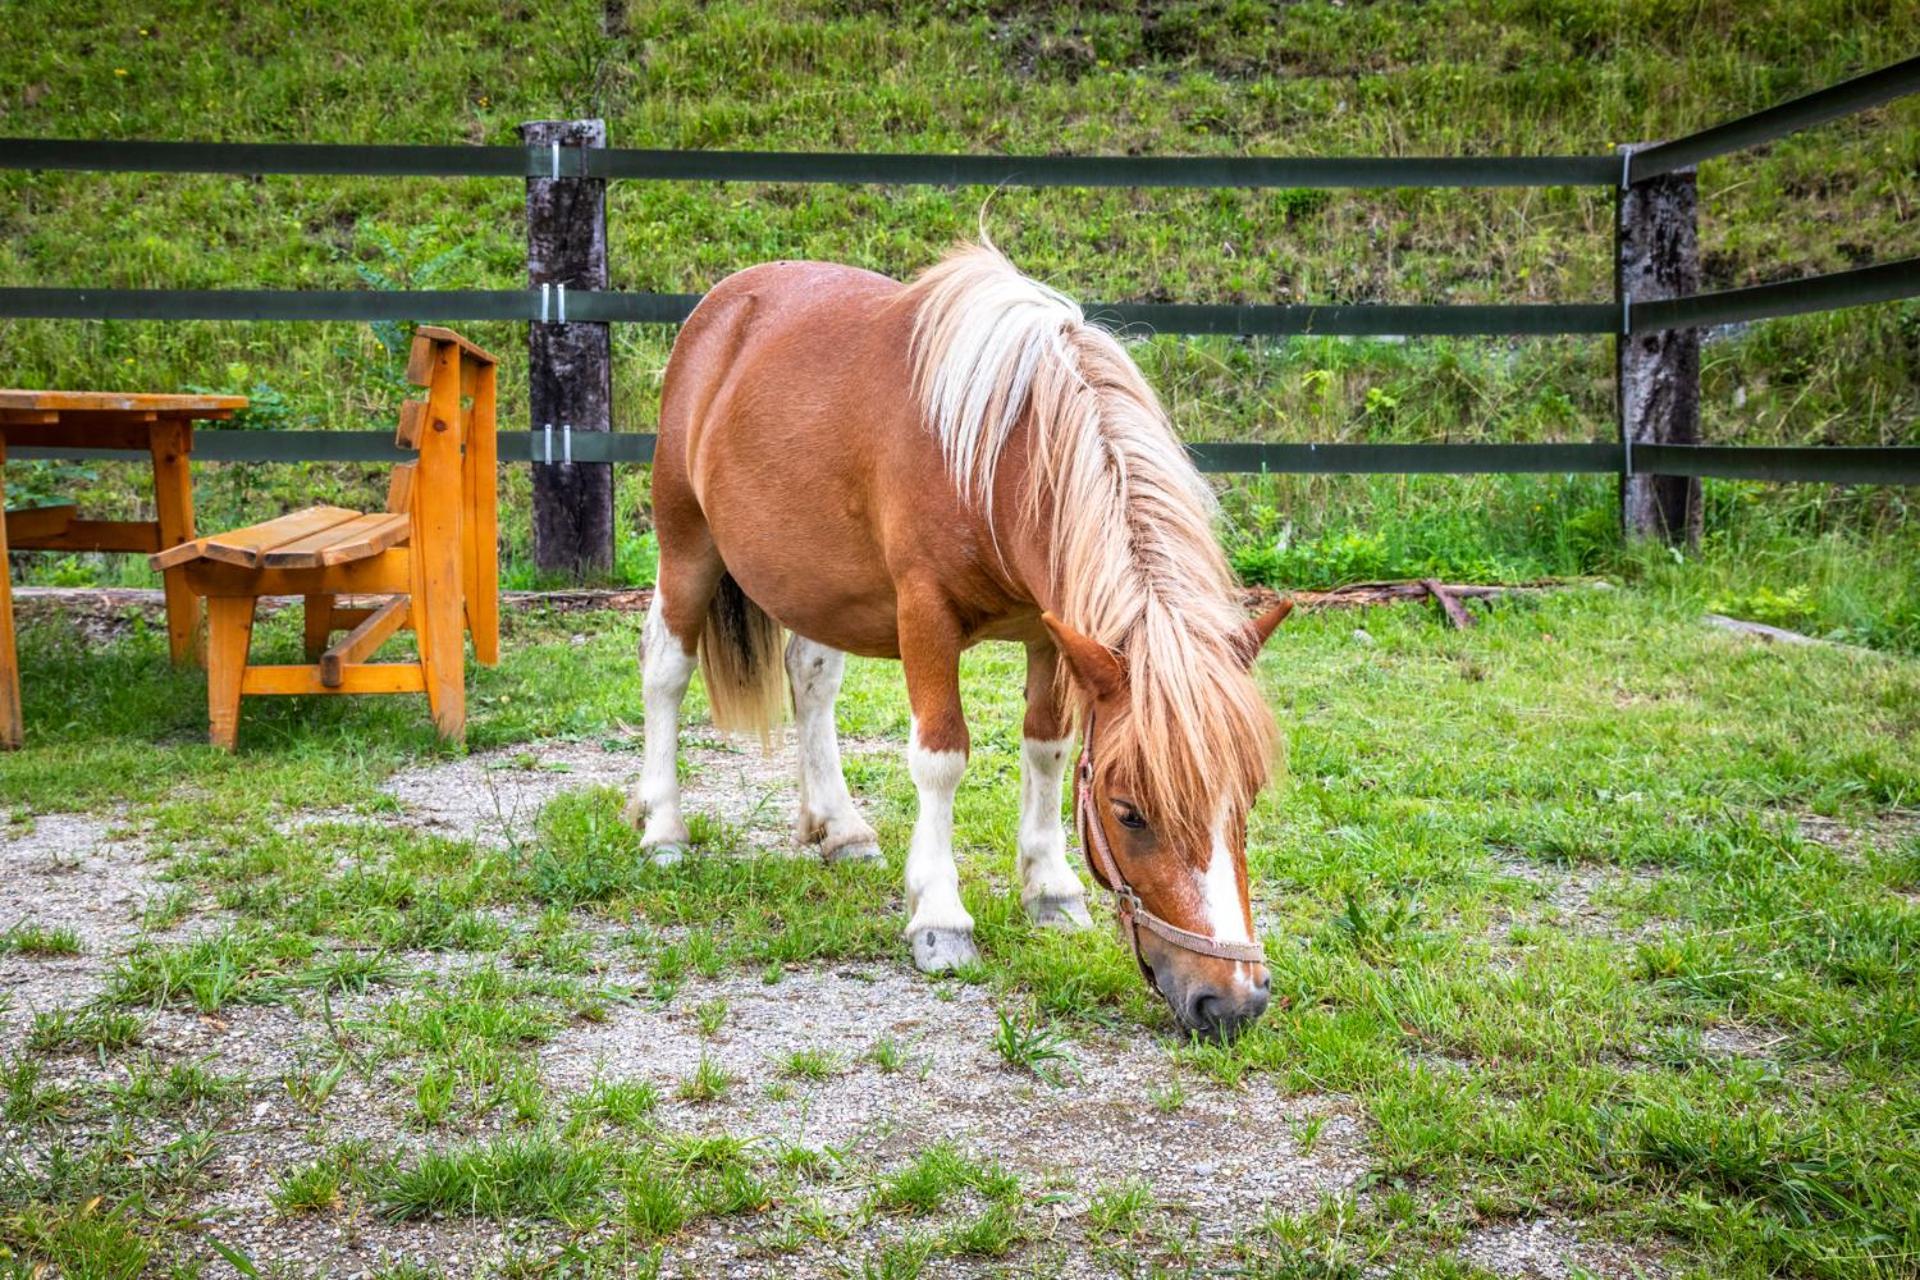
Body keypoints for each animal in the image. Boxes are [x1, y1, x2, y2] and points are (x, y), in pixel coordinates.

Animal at [629, 242, 1290, 1043]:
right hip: (685, 543)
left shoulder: (1052, 630)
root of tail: (723, 307)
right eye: (1129, 810)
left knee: (810, 679)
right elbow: (941, 757)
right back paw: (663, 827)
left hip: (817, 584)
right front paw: (940, 918)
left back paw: (838, 827)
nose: (1233, 1000)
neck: (1005, 455)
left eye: (1246, 796)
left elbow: (1047, 747)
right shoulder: (925, 616)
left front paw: (1051, 888)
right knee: (667, 667)